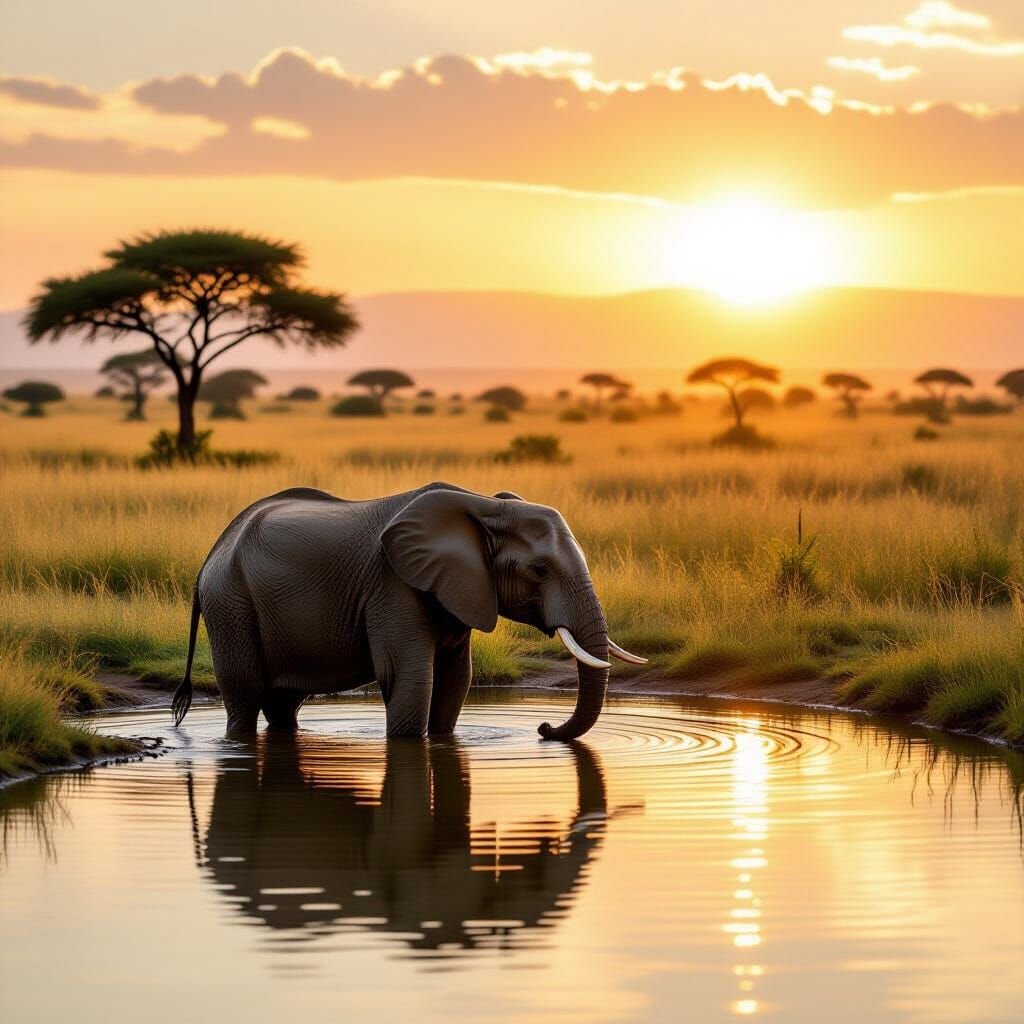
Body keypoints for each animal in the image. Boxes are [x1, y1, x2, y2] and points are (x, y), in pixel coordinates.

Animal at [172, 482, 644, 740]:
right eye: (539, 570)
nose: (544, 729)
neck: (483, 506)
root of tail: (211, 554)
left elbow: (456, 680)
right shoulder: (393, 584)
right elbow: (411, 677)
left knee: (283, 703)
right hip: (230, 603)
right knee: (245, 696)